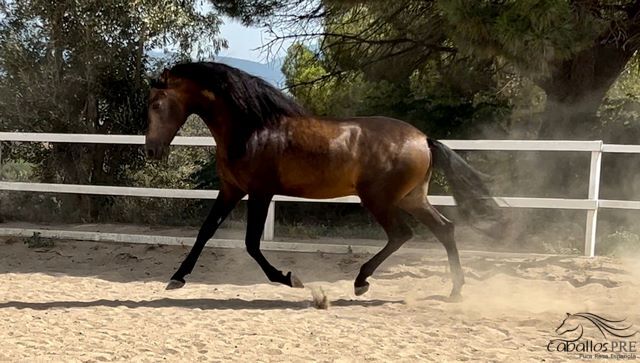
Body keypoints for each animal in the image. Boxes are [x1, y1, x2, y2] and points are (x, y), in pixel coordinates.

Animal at [142, 61, 502, 300]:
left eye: (156, 104)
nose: (151, 149)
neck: (252, 129)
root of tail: (423, 139)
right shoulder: (231, 190)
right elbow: (205, 232)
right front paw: (176, 278)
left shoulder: (260, 192)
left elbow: (251, 243)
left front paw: (289, 278)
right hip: (412, 198)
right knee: (445, 229)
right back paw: (455, 290)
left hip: (379, 199)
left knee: (402, 234)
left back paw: (361, 281)